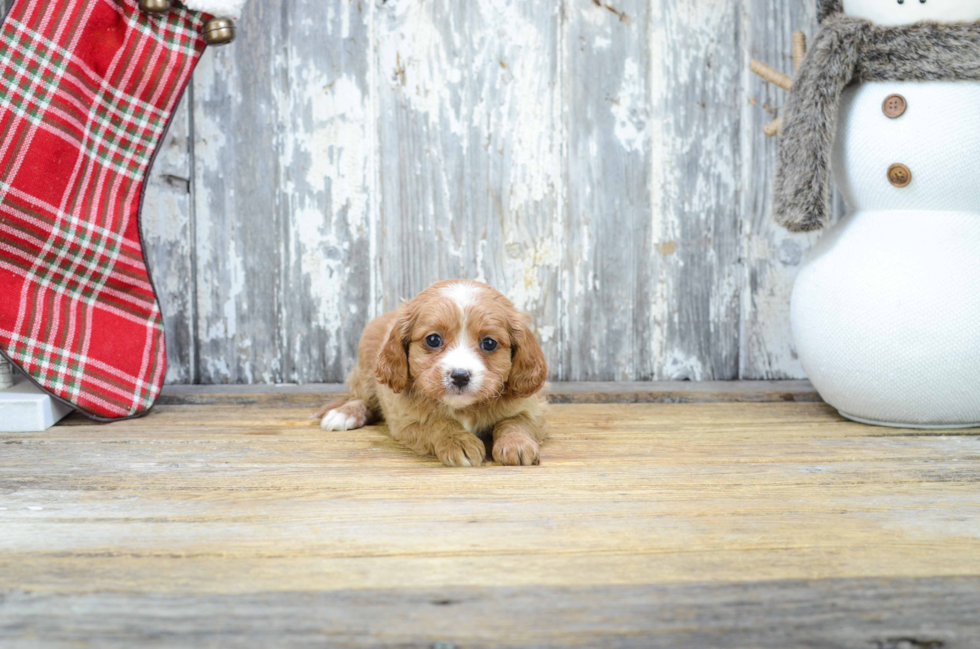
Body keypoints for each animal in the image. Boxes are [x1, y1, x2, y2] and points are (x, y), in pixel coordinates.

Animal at [322, 278, 552, 466]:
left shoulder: (532, 407)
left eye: (489, 343)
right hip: (366, 371)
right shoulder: (404, 418)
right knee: (363, 398)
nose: (460, 376)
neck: (463, 408)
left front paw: (516, 443)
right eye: (433, 340)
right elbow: (436, 421)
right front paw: (459, 440)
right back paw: (344, 414)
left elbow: (515, 421)